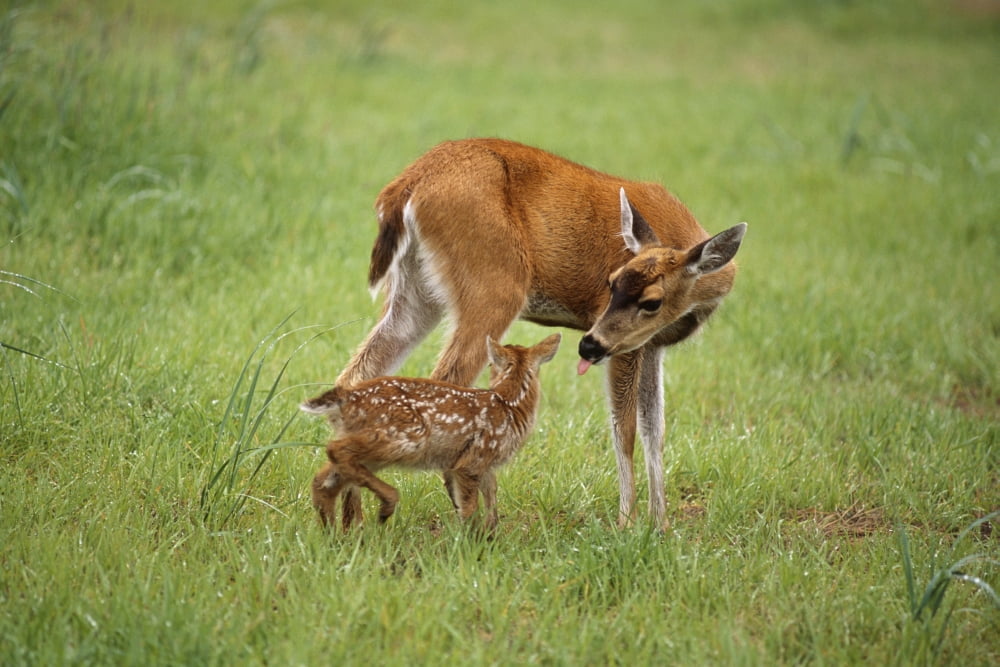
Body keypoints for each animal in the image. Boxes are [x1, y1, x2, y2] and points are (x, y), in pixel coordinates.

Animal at [303, 333, 561, 532]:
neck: (509, 405)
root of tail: (346, 398)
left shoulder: (486, 466)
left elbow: (492, 501)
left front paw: (490, 537)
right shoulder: (472, 461)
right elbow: (469, 508)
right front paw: (471, 543)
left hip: (373, 448)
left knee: (324, 479)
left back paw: (332, 534)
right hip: (405, 436)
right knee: (335, 452)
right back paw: (386, 506)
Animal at [333, 138, 746, 531]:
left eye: (652, 301)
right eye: (611, 283)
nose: (588, 344)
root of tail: (406, 185)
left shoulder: (652, 344)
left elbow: (654, 430)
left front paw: (661, 526)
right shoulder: (625, 344)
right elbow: (625, 430)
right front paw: (627, 524)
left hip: (417, 291)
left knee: (354, 377)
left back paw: (350, 519)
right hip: (494, 284)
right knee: (443, 382)